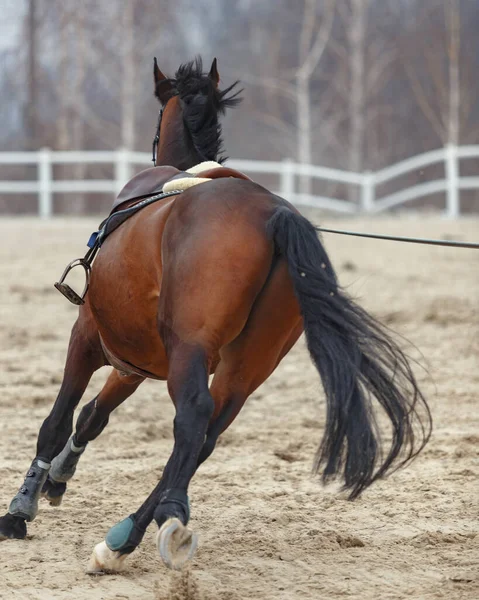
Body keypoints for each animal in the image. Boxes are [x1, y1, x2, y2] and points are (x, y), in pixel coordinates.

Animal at [0, 56, 436, 572]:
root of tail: (273, 216)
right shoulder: (134, 362)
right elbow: (92, 415)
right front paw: (59, 477)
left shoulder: (87, 337)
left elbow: (58, 420)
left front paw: (20, 509)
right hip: (247, 366)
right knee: (206, 436)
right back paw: (125, 535)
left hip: (191, 352)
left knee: (192, 420)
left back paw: (146, 523)